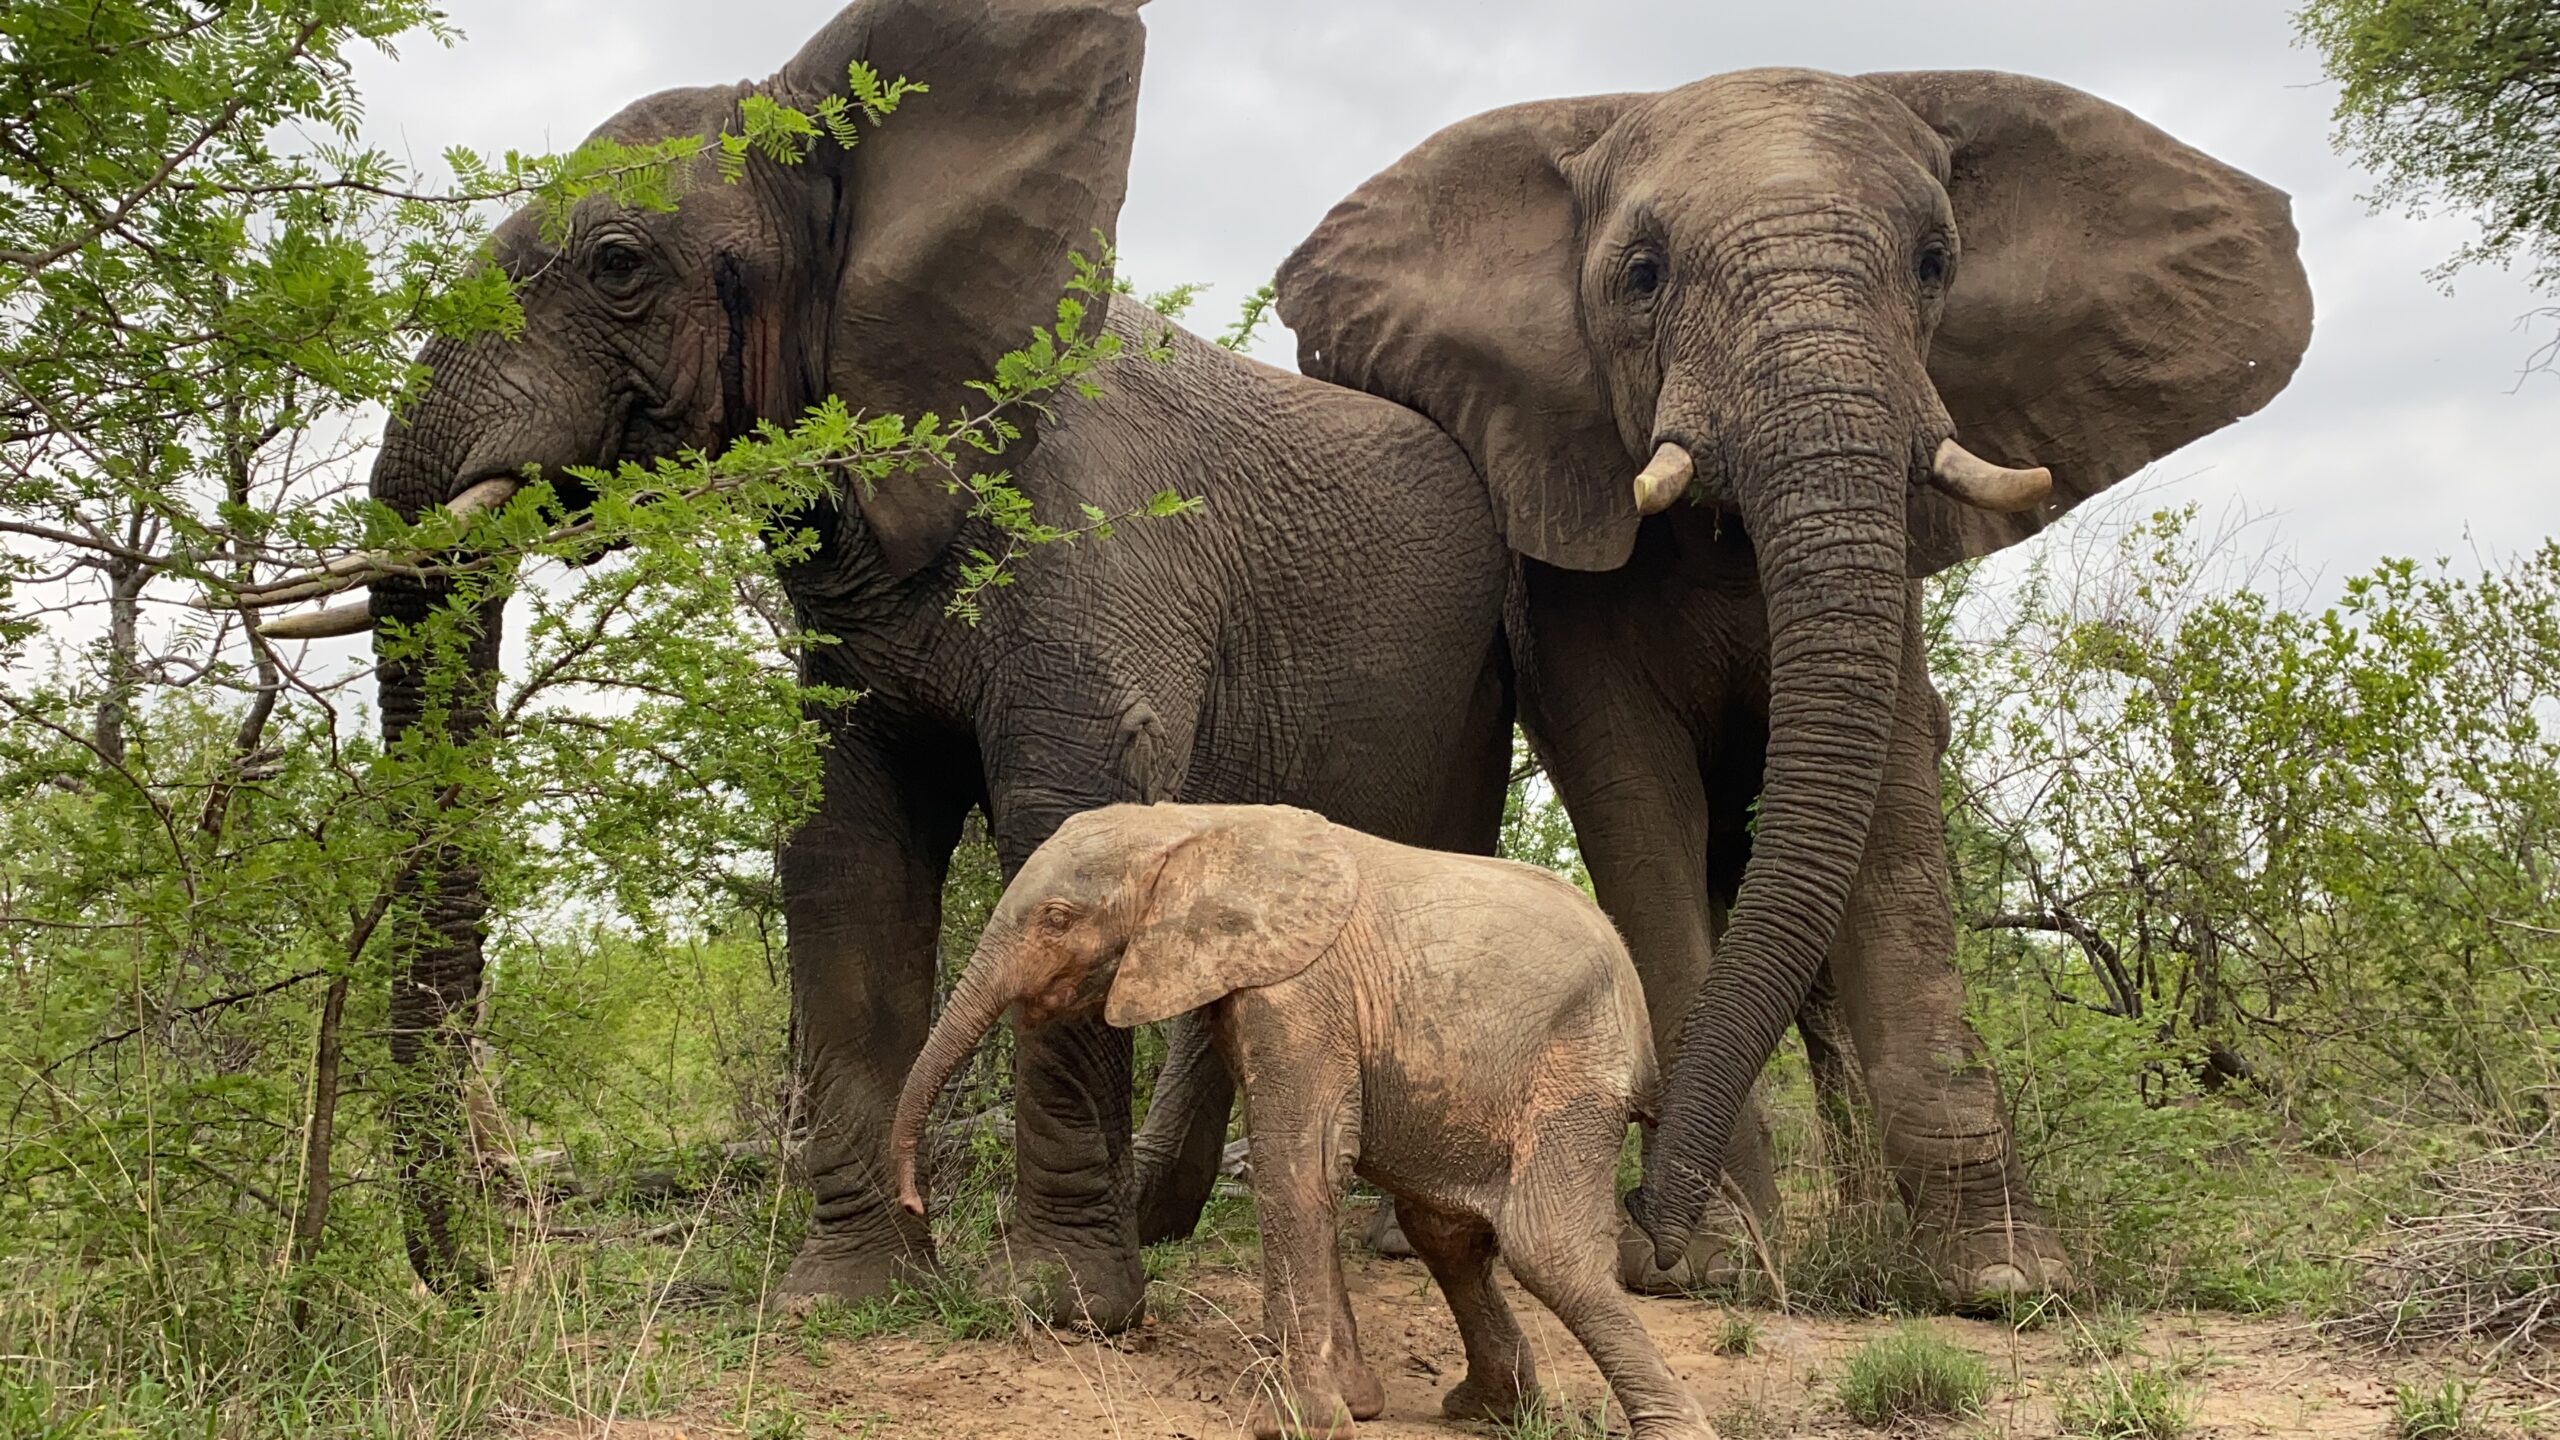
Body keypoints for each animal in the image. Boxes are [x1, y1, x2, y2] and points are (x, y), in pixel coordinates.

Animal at [301, 0, 1516, 1325]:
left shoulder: (1099, 539)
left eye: (616, 264)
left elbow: (1063, 827)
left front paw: (1063, 1309)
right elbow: (847, 849)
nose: (485, 1273)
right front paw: (846, 1300)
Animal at [889, 804, 1712, 1440]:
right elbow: (1314, 1173)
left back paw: (1674, 1429)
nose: (913, 1201)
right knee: (1444, 1233)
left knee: (1543, 1249)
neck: (1189, 824)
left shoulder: (1298, 990)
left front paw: (1294, 1423)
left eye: (1058, 920)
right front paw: (1358, 1407)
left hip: (1574, 1069)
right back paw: (1488, 1409)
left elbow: (1298, 1166)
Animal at [1275, 67, 2313, 1300]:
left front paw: (2007, 1278)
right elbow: (1638, 811)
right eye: (1643, 276)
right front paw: (1711, 1266)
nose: (1646, 1228)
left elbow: (1895, 816)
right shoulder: (1570, 569)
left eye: (1934, 262)